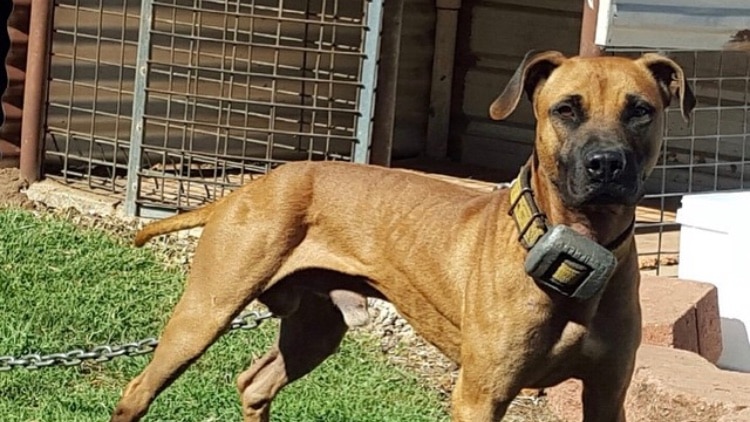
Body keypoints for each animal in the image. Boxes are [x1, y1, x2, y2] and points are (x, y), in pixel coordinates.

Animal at [108, 51, 696, 420]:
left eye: (640, 111)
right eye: (566, 109)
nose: (606, 164)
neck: (576, 252)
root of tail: (253, 184)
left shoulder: (606, 394)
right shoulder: (480, 395)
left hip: (315, 329)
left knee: (255, 383)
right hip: (203, 314)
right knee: (138, 389)